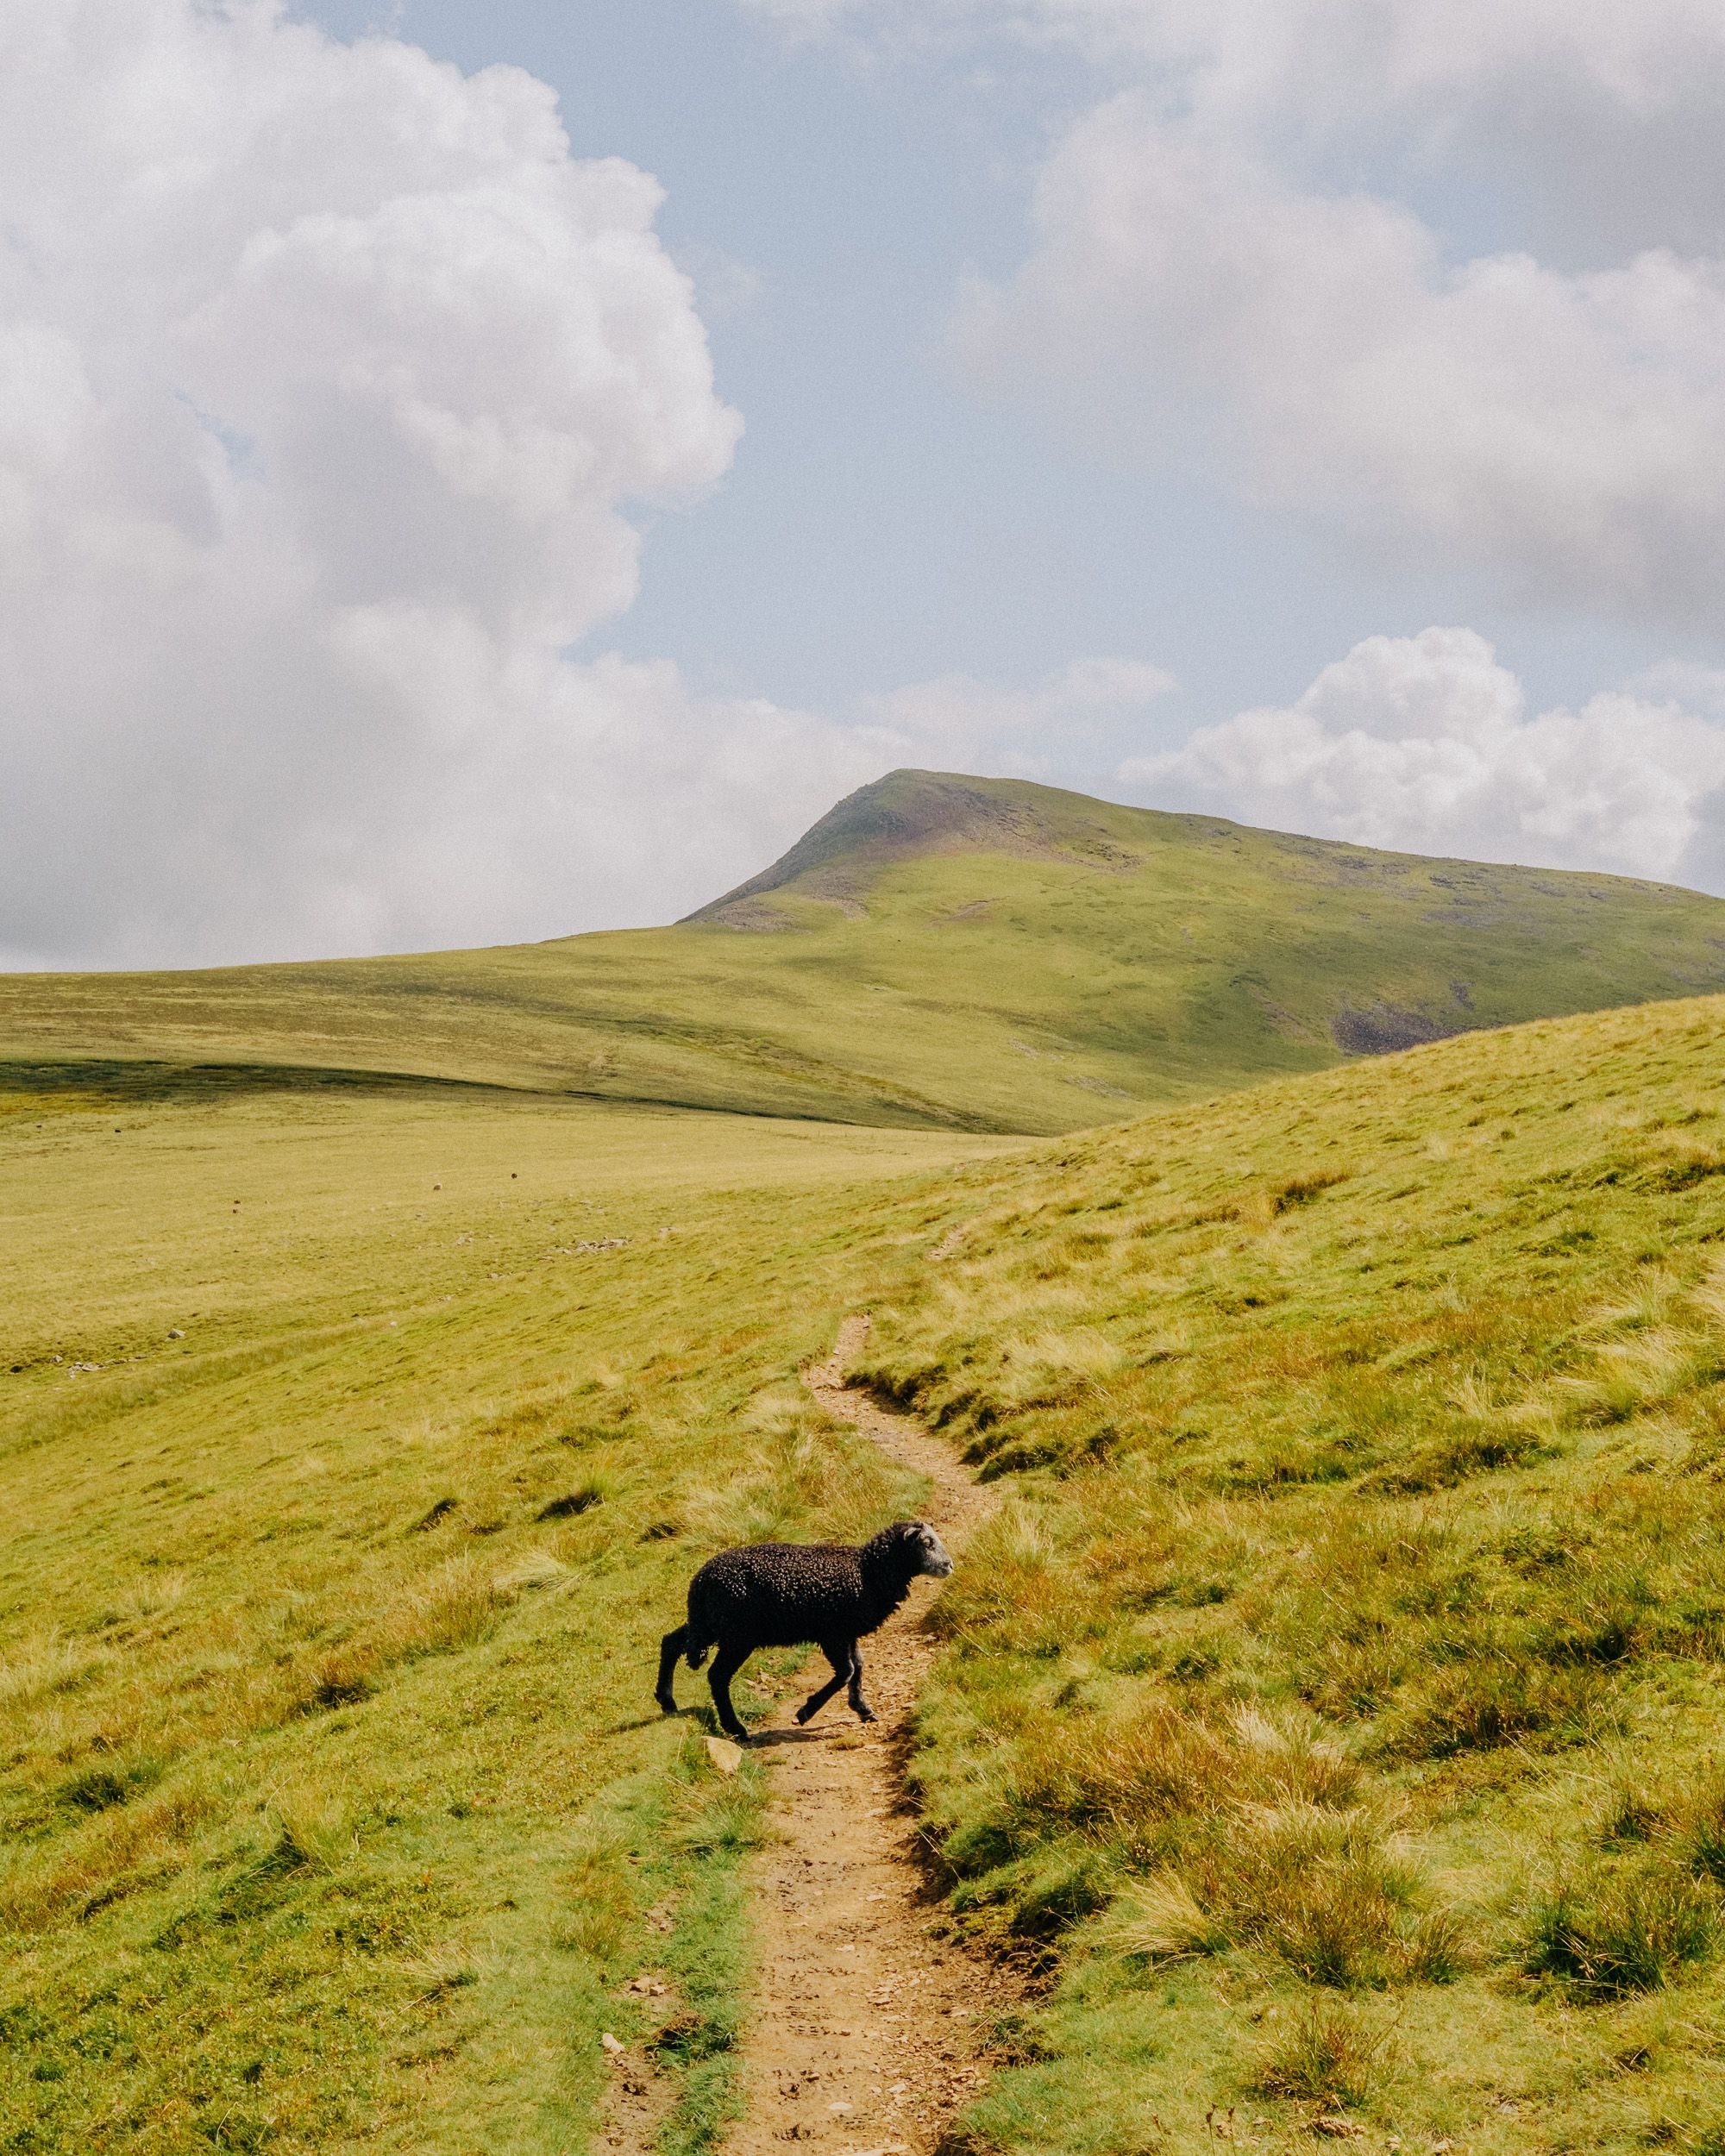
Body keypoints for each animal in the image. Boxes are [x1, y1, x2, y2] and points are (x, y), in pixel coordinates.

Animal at [655, 1519, 954, 1743]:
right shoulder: (832, 1633)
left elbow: (858, 1666)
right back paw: (735, 1728)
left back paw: (667, 1700)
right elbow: (846, 1672)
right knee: (717, 1676)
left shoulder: (847, 1632)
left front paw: (862, 1708)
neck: (868, 1572)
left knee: (671, 1642)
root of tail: (701, 1580)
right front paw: (806, 1712)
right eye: (926, 1543)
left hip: (710, 1625)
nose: (949, 1565)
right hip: (737, 1635)